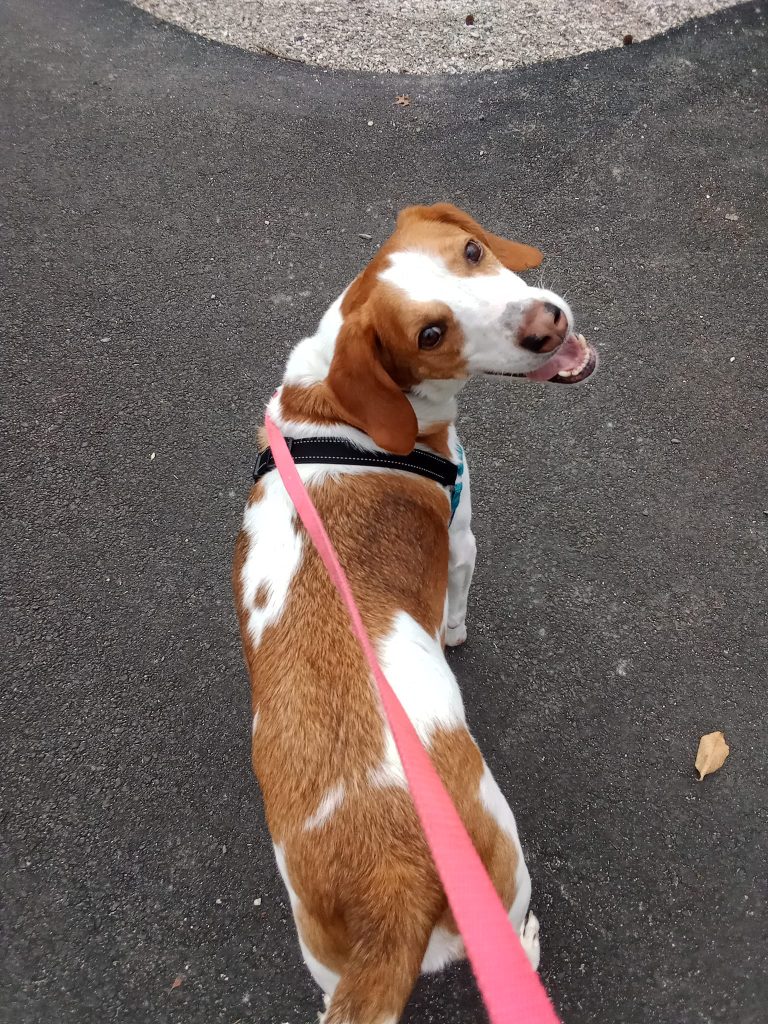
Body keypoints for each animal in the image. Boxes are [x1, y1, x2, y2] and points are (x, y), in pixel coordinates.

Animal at [233, 203, 596, 1023]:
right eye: (430, 334)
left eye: (471, 251)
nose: (548, 325)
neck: (336, 416)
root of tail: (391, 879)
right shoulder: (463, 542)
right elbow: (457, 600)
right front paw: (454, 631)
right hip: (505, 865)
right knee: (517, 929)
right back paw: (526, 947)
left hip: (327, 965)